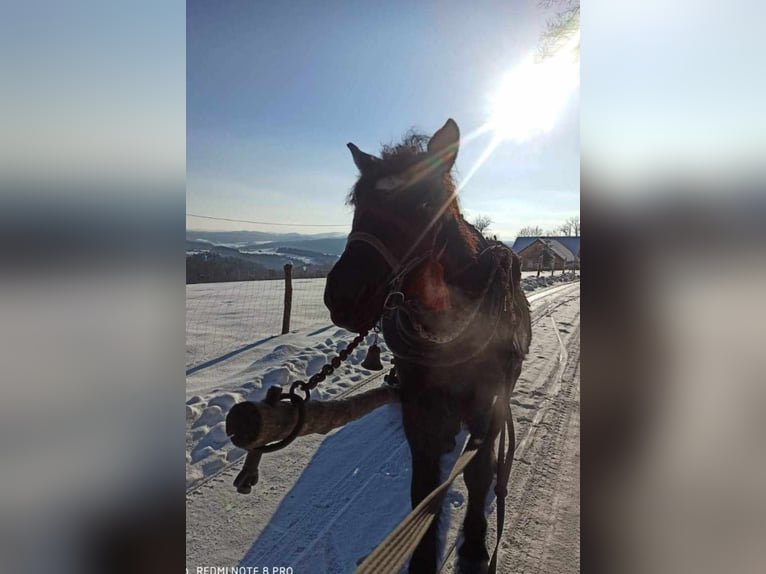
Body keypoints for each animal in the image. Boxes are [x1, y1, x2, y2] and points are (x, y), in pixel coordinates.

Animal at [326, 119, 536, 572]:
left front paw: (474, 543)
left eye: (425, 203)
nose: (344, 297)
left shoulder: (487, 401)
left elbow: (478, 471)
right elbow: (423, 489)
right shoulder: (417, 403)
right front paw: (422, 558)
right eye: (358, 201)